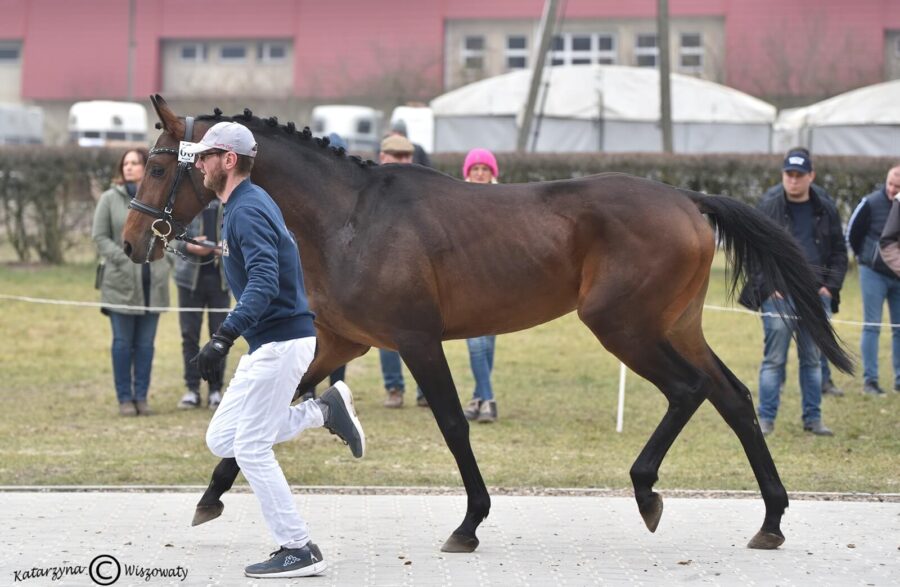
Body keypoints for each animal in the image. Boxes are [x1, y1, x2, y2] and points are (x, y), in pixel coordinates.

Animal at [125, 96, 852, 556]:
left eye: (158, 165)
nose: (134, 240)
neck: (350, 216)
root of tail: (687, 198)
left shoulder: (416, 341)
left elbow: (453, 423)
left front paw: (470, 523)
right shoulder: (342, 340)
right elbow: (285, 406)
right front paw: (211, 496)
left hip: (624, 325)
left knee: (688, 391)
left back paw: (649, 491)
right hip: (674, 325)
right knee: (732, 395)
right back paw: (771, 518)